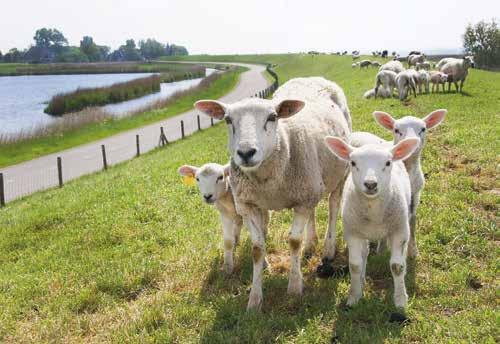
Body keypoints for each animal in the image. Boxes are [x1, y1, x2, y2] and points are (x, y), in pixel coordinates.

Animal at [193, 76, 350, 310]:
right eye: (228, 119)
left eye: (272, 117)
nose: (246, 153)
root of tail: (311, 78)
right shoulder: (249, 205)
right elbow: (257, 249)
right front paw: (254, 300)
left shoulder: (302, 200)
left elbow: (294, 242)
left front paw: (294, 287)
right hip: (312, 184)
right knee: (314, 211)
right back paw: (311, 244)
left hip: (339, 174)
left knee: (333, 206)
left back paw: (328, 249)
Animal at [324, 136, 422, 308]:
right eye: (353, 162)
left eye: (388, 163)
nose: (370, 184)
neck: (374, 210)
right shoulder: (353, 233)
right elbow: (355, 265)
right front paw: (354, 296)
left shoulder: (400, 231)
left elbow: (397, 266)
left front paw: (400, 301)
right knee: (364, 253)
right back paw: (362, 280)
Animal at [374, 109, 448, 256]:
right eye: (396, 130)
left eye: (423, 129)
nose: (412, 142)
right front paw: (382, 249)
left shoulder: (415, 194)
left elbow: (413, 221)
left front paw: (413, 251)